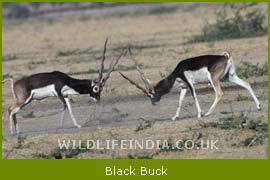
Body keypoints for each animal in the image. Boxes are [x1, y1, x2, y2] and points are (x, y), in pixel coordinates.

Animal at [119, 50, 260, 120]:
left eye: (150, 94)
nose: (153, 103)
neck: (176, 73)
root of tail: (225, 56)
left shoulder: (189, 84)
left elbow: (195, 97)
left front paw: (199, 114)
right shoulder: (184, 87)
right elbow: (180, 101)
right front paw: (175, 117)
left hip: (214, 79)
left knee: (219, 93)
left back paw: (207, 114)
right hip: (230, 77)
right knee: (246, 84)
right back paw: (258, 106)